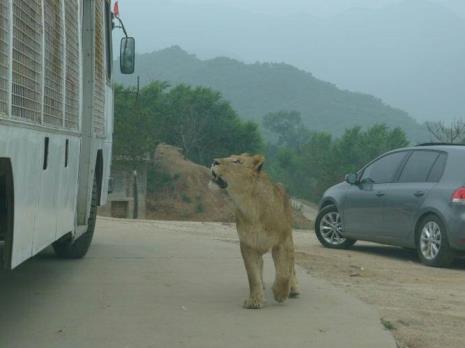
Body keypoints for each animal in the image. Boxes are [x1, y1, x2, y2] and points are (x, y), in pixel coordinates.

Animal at [209, 154, 300, 308]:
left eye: (237, 161)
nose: (214, 161)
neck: (250, 206)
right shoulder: (248, 245)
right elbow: (253, 274)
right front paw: (255, 300)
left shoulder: (282, 241)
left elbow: (284, 272)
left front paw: (280, 293)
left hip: (289, 237)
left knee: (291, 265)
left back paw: (293, 289)